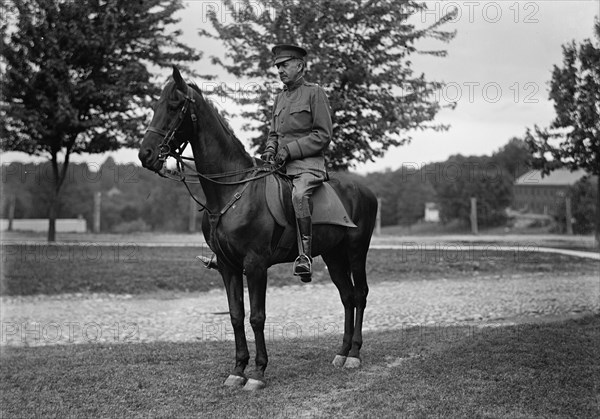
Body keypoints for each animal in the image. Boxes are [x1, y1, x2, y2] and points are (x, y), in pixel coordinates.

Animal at [138, 67, 378, 392]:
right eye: (156, 106)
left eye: (174, 106)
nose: (146, 155)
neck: (231, 190)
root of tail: (365, 190)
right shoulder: (227, 266)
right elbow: (236, 315)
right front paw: (238, 369)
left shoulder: (255, 265)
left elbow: (257, 317)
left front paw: (258, 372)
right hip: (334, 256)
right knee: (347, 296)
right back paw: (341, 353)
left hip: (355, 251)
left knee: (361, 294)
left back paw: (354, 354)